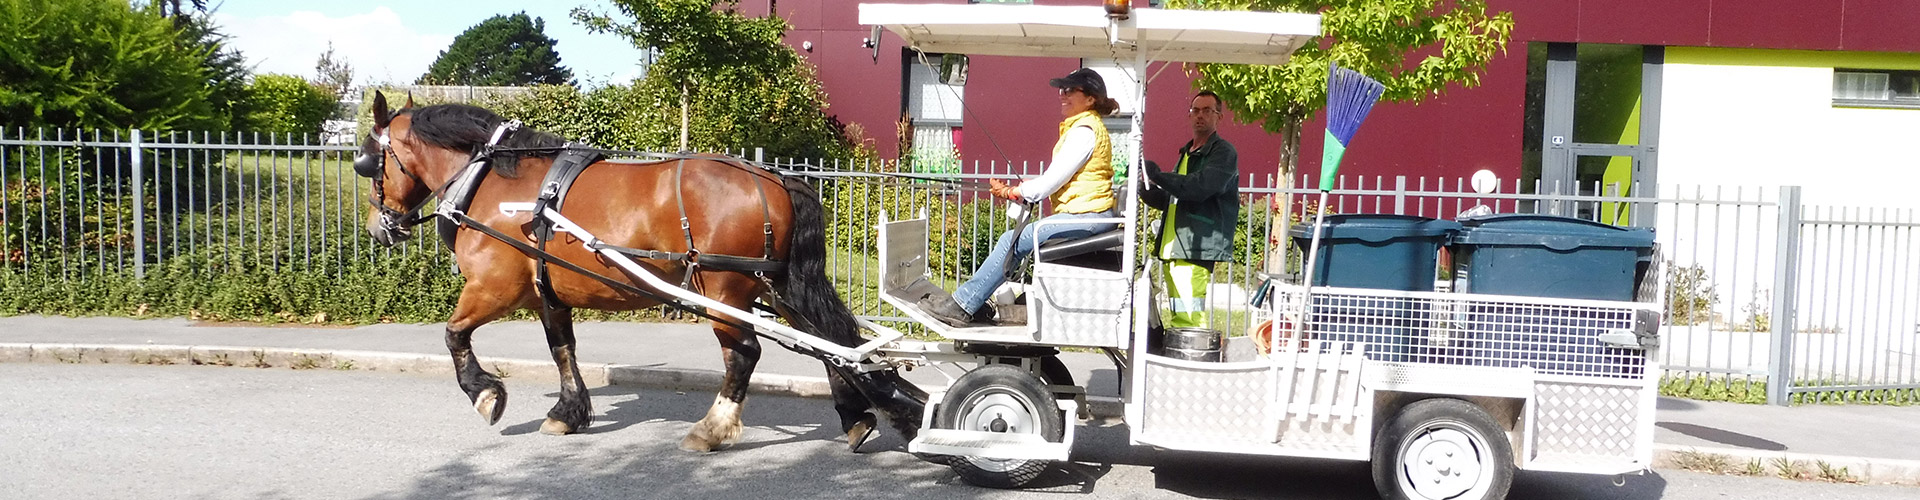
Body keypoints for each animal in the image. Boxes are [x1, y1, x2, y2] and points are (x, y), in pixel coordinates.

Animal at [355, 91, 921, 451]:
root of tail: (775, 178)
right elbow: (563, 350)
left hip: (725, 290)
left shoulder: (495, 287)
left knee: (746, 353)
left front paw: (486, 394)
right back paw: (859, 418)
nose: (377, 227)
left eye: (368, 162)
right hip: (777, 285)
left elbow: (453, 335)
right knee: (834, 347)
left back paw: (712, 430)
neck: (492, 180)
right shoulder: (547, 291)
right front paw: (568, 413)